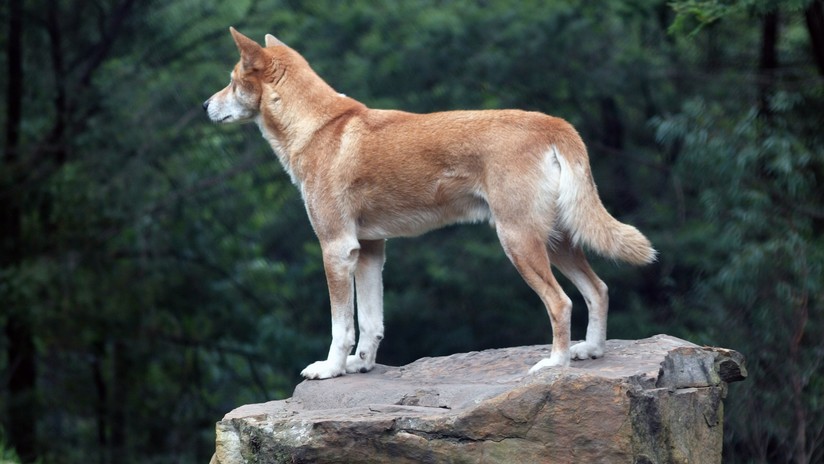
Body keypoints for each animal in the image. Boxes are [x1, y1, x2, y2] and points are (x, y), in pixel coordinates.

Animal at [204, 27, 656, 378]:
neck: (318, 128)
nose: (205, 105)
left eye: (230, 80)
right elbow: (371, 323)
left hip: (519, 241)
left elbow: (341, 326)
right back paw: (590, 351)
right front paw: (360, 365)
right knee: (598, 289)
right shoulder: (369, 250)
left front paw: (331, 369)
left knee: (561, 302)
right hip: (557, 240)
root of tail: (553, 123)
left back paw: (555, 363)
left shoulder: (336, 248)